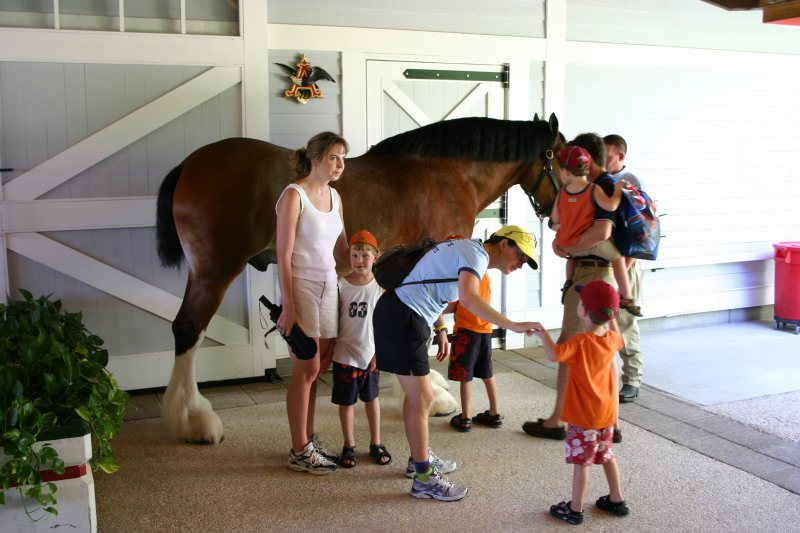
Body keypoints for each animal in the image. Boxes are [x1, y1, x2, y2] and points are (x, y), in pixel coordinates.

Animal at [156, 113, 562, 444]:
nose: (556, 215)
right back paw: (194, 419)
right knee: (188, 329)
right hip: (214, 271)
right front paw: (432, 394)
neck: (446, 176)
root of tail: (190, 163)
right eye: (567, 156)